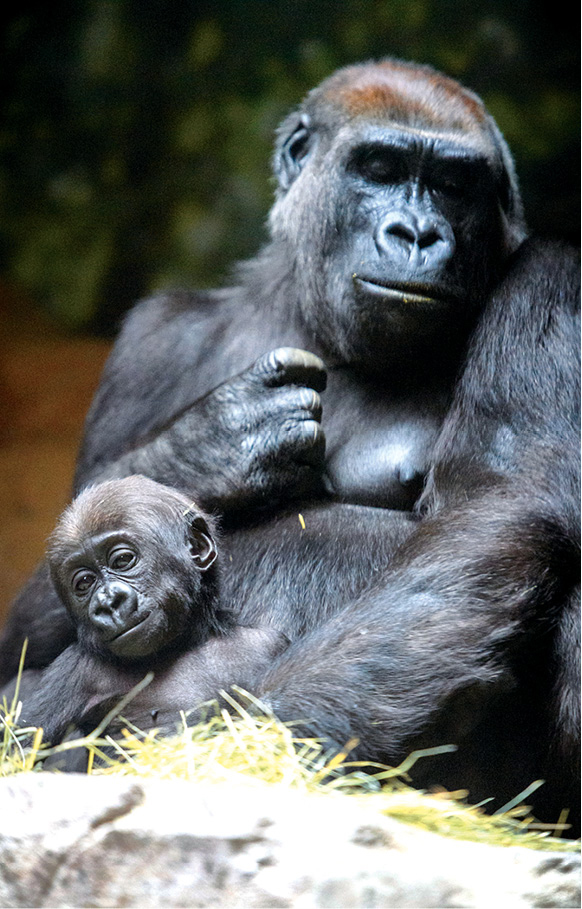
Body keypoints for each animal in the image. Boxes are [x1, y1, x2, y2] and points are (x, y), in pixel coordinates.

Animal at [2, 476, 290, 744]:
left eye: (123, 560)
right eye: (84, 583)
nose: (108, 603)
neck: (181, 645)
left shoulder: (268, 643)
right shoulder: (72, 671)